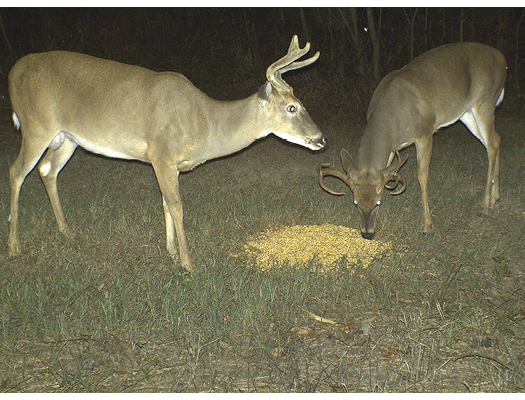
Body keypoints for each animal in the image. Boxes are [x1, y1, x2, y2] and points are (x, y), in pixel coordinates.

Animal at [8, 35, 326, 272]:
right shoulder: (160, 154)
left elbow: (165, 204)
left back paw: (67, 231)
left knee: (47, 170)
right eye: (291, 107)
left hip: (68, 138)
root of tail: (13, 72)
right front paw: (188, 263)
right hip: (36, 126)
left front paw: (171, 252)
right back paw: (14, 246)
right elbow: (177, 206)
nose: (321, 139)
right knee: (16, 172)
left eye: (300, 102)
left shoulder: (169, 163)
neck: (204, 125)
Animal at [318, 42, 506, 239]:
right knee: (496, 139)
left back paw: (485, 205)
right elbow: (389, 171)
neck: (393, 117)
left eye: (377, 203)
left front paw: (426, 225)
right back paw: (496, 197)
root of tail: (502, 58)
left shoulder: (425, 132)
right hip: (467, 113)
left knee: (491, 144)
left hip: (485, 101)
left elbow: (422, 176)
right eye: (356, 202)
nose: (367, 233)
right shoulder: (392, 148)